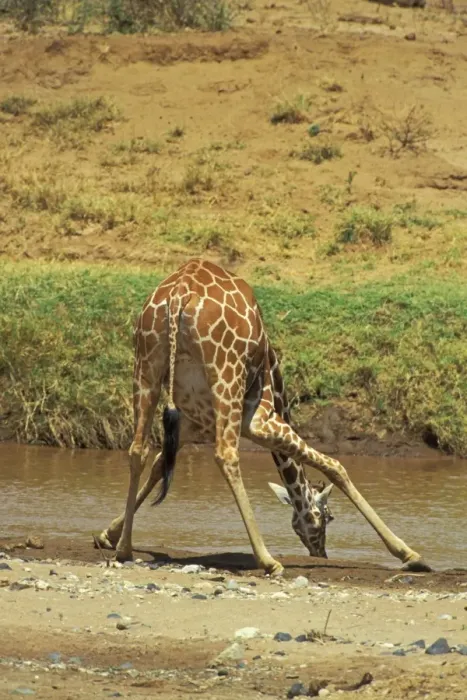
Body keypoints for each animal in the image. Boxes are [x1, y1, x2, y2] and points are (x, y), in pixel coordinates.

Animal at [95, 258, 430, 575]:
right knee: (227, 455)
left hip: (146, 366)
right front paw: (410, 554)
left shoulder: (192, 422)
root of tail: (180, 293)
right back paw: (268, 559)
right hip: (226, 375)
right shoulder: (260, 419)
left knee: (137, 449)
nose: (320, 553)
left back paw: (124, 550)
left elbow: (158, 463)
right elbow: (335, 466)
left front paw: (108, 535)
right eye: (327, 517)